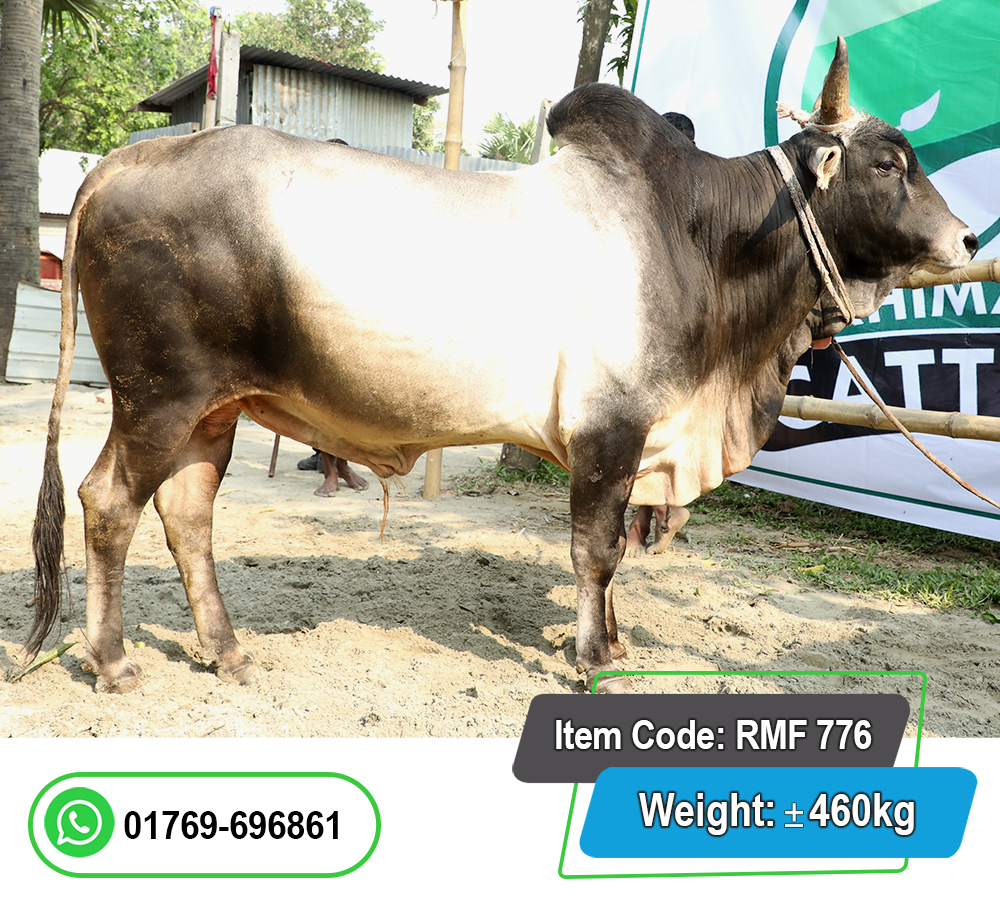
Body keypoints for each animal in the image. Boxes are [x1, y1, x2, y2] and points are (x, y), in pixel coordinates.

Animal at [29, 38, 976, 694]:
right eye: (887, 163)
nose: (968, 240)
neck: (703, 237)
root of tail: (123, 159)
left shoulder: (638, 440)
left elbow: (613, 555)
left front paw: (614, 640)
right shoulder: (609, 432)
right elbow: (596, 550)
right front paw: (595, 661)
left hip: (213, 411)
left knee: (188, 515)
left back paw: (227, 654)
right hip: (158, 397)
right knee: (108, 502)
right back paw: (113, 663)